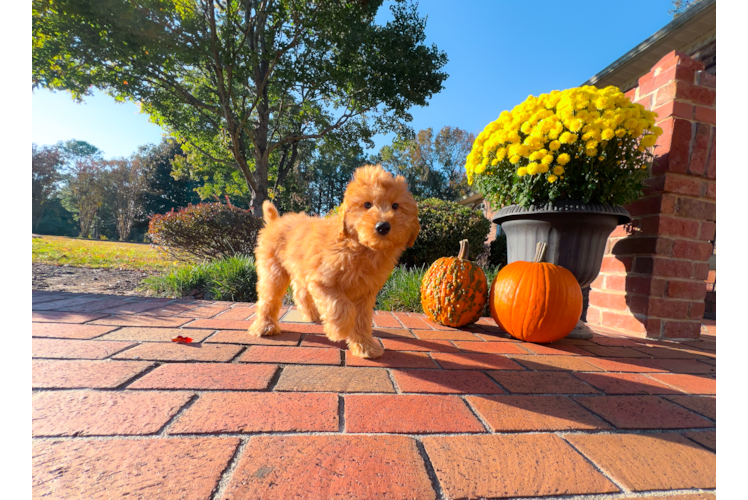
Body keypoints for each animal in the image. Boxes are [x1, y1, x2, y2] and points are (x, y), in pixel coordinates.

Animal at [248, 166, 418, 358]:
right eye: (367, 204)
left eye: (395, 205)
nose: (382, 226)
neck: (360, 248)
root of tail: (276, 221)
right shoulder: (323, 281)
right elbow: (342, 306)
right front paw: (339, 330)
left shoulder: (365, 291)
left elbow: (361, 320)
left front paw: (365, 347)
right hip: (273, 270)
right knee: (269, 297)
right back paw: (265, 327)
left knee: (300, 293)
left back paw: (313, 315)